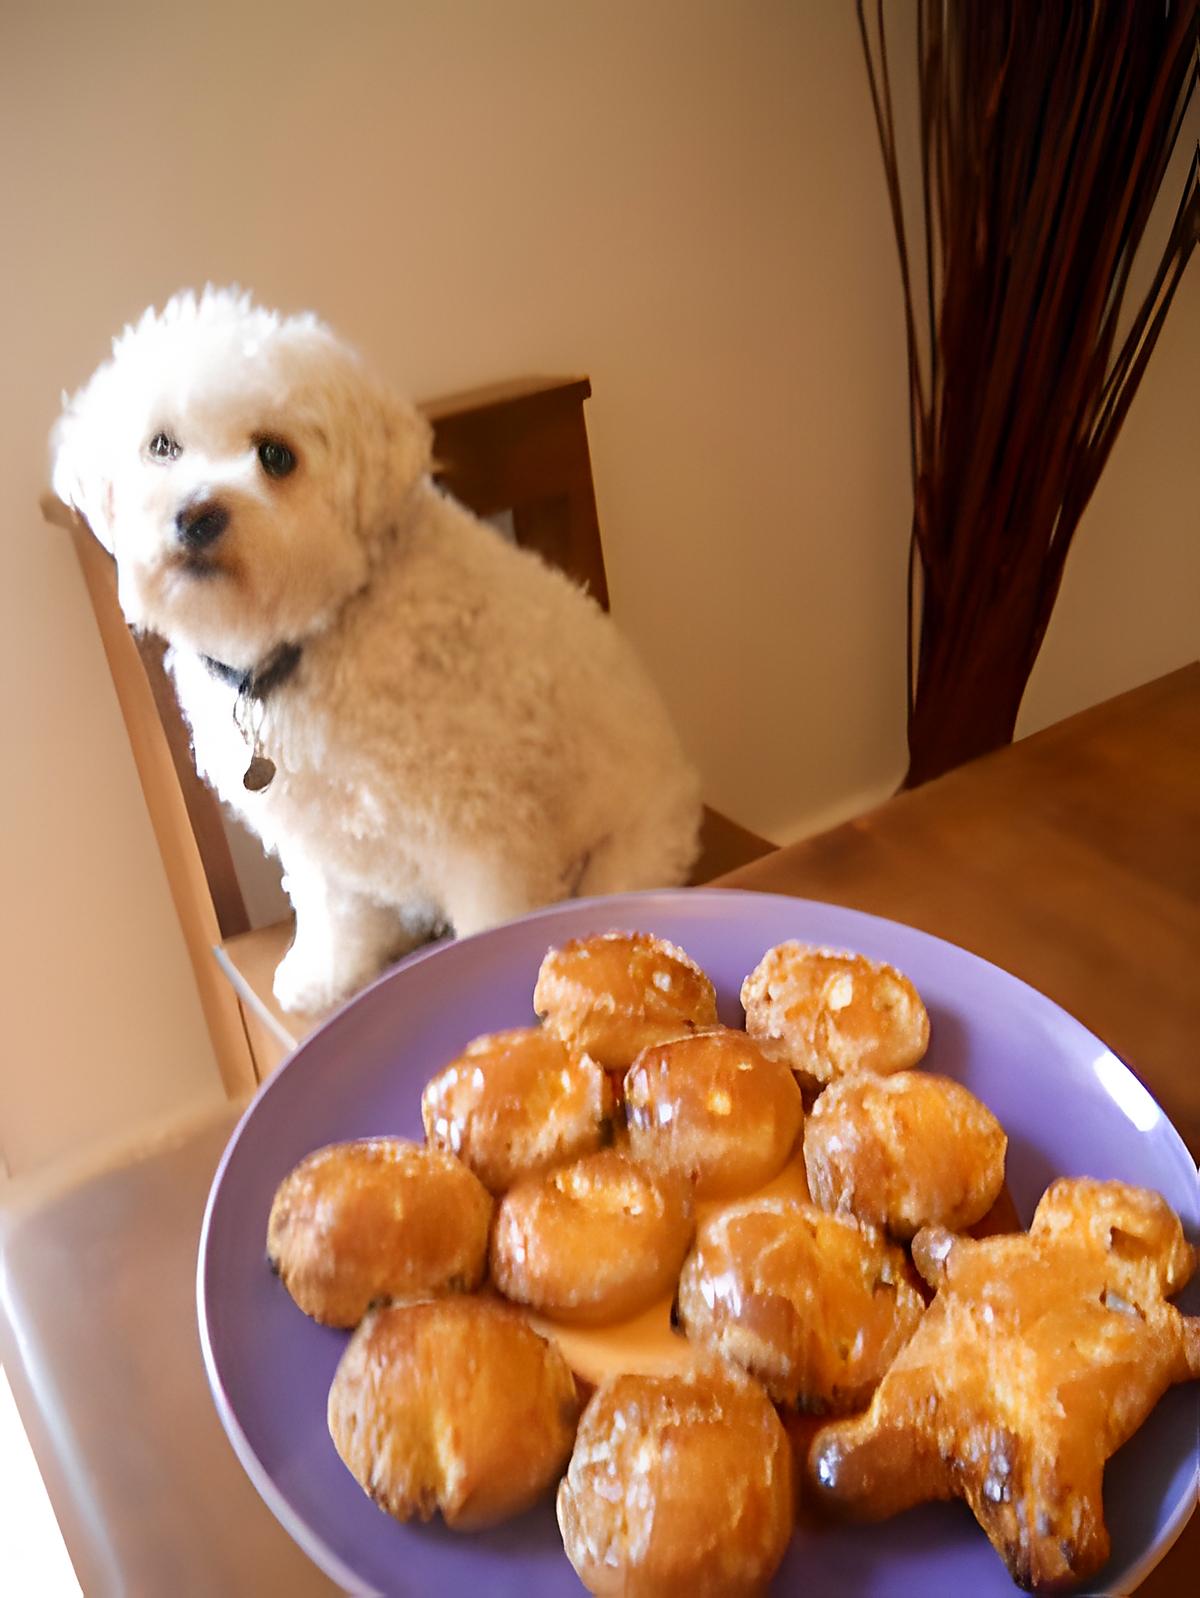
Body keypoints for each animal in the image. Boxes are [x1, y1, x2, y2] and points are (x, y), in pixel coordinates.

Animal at [51, 287, 699, 1009]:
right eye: (161, 445)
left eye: (276, 455)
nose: (196, 515)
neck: (312, 640)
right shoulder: (313, 834)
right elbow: (328, 910)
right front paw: (325, 975)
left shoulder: (479, 835)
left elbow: (490, 918)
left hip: (628, 850)